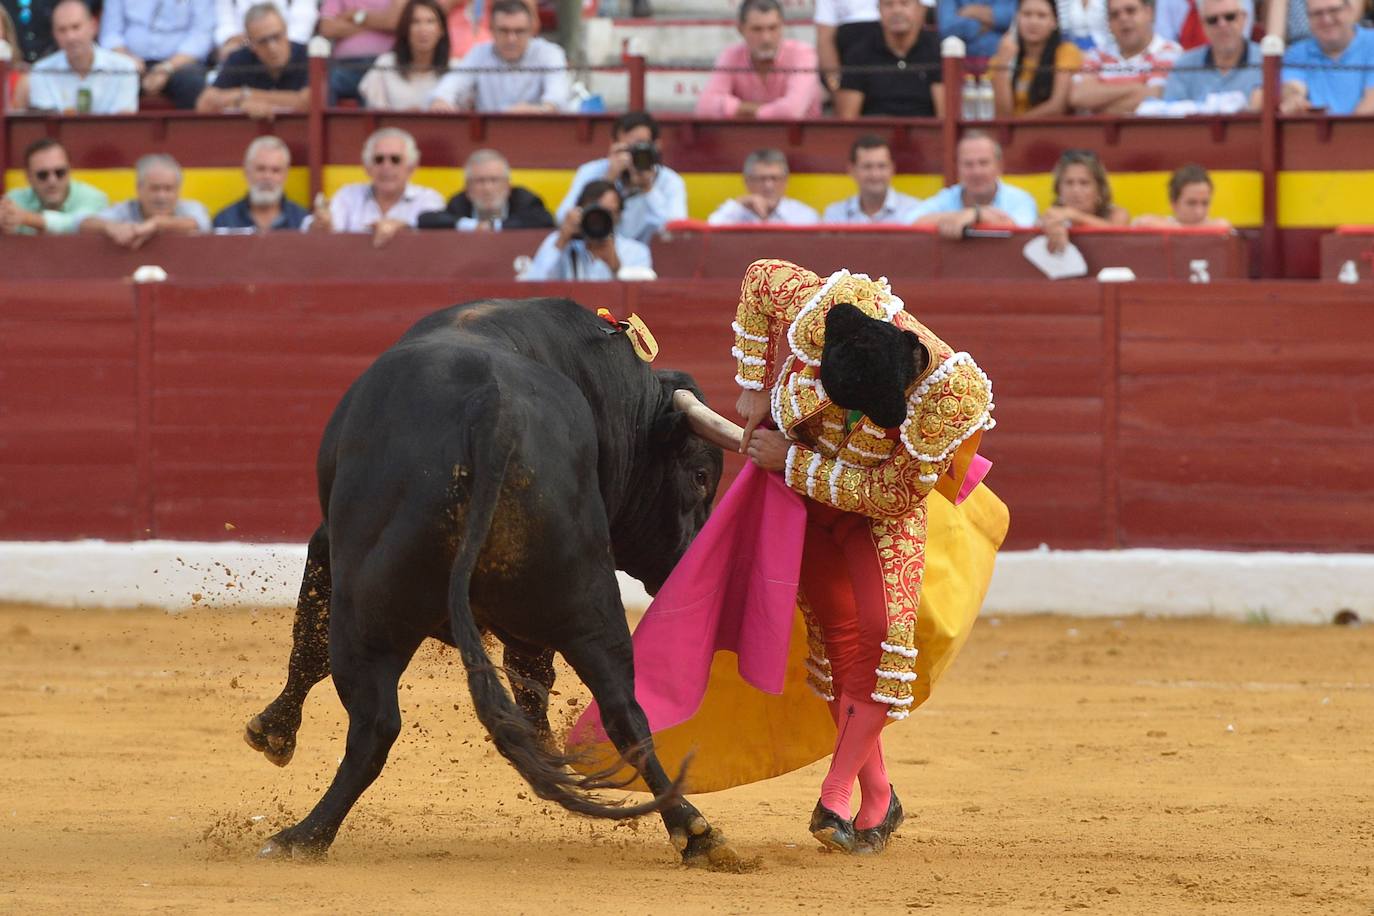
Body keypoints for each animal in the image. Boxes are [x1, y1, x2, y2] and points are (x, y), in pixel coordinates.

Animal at [245, 299, 741, 867]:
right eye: (700, 476)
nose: (697, 560)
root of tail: (493, 416)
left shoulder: (326, 542)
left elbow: (308, 648)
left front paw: (272, 732)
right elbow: (534, 677)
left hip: (366, 606)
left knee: (374, 723)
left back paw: (302, 836)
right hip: (588, 601)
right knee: (627, 714)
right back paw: (696, 832)